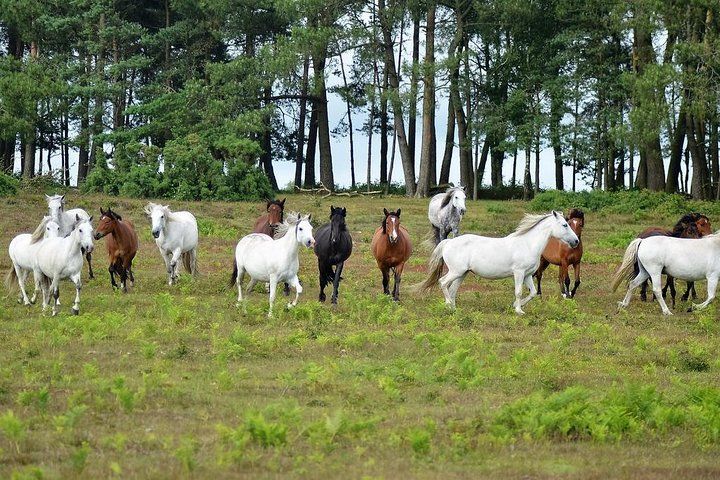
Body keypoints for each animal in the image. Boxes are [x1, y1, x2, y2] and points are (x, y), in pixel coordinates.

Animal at [416, 211, 579, 314]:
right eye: (565, 225)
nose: (576, 241)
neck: (527, 244)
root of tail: (448, 242)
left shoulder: (527, 275)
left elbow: (532, 293)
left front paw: (516, 306)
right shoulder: (519, 273)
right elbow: (518, 292)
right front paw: (519, 311)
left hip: (462, 274)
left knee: (452, 290)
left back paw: (453, 309)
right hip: (456, 272)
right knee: (443, 282)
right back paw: (449, 305)